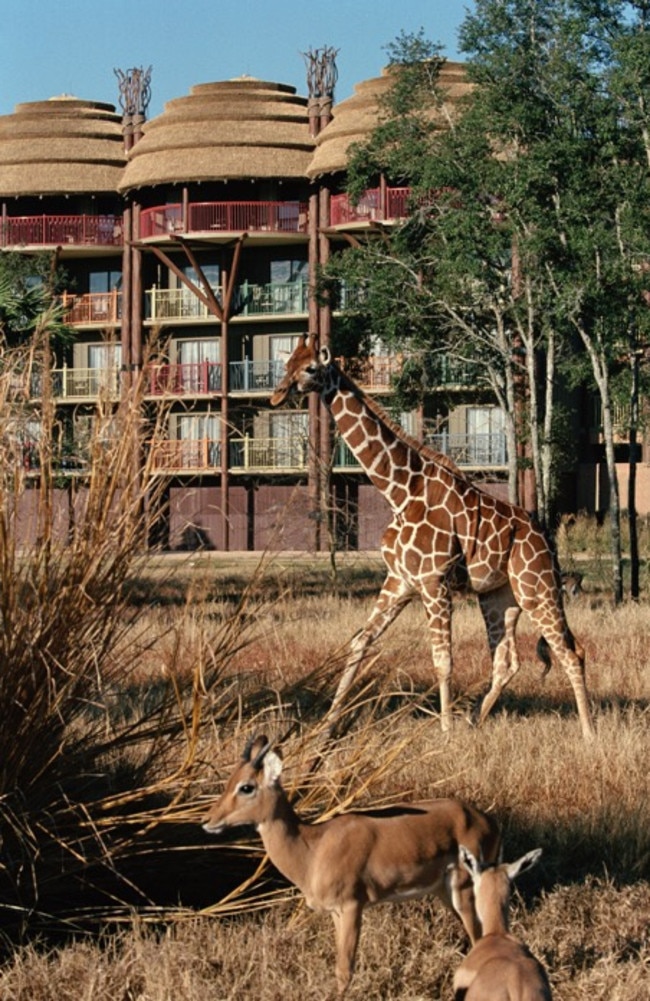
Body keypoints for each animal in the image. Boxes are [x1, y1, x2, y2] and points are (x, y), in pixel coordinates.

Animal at [202, 732, 502, 996]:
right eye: (230, 780)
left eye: (246, 787)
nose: (208, 821)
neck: (313, 848)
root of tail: (486, 820)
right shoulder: (335, 913)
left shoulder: (351, 907)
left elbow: (345, 969)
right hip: (444, 894)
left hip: (464, 891)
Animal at [268, 340, 592, 740]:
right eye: (287, 364)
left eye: (311, 368)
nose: (278, 394)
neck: (400, 491)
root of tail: (546, 539)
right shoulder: (400, 581)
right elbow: (359, 642)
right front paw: (326, 728)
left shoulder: (434, 582)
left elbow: (442, 660)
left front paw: (445, 734)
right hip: (500, 596)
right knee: (507, 660)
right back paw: (474, 721)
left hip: (537, 588)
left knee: (571, 652)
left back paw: (589, 733)